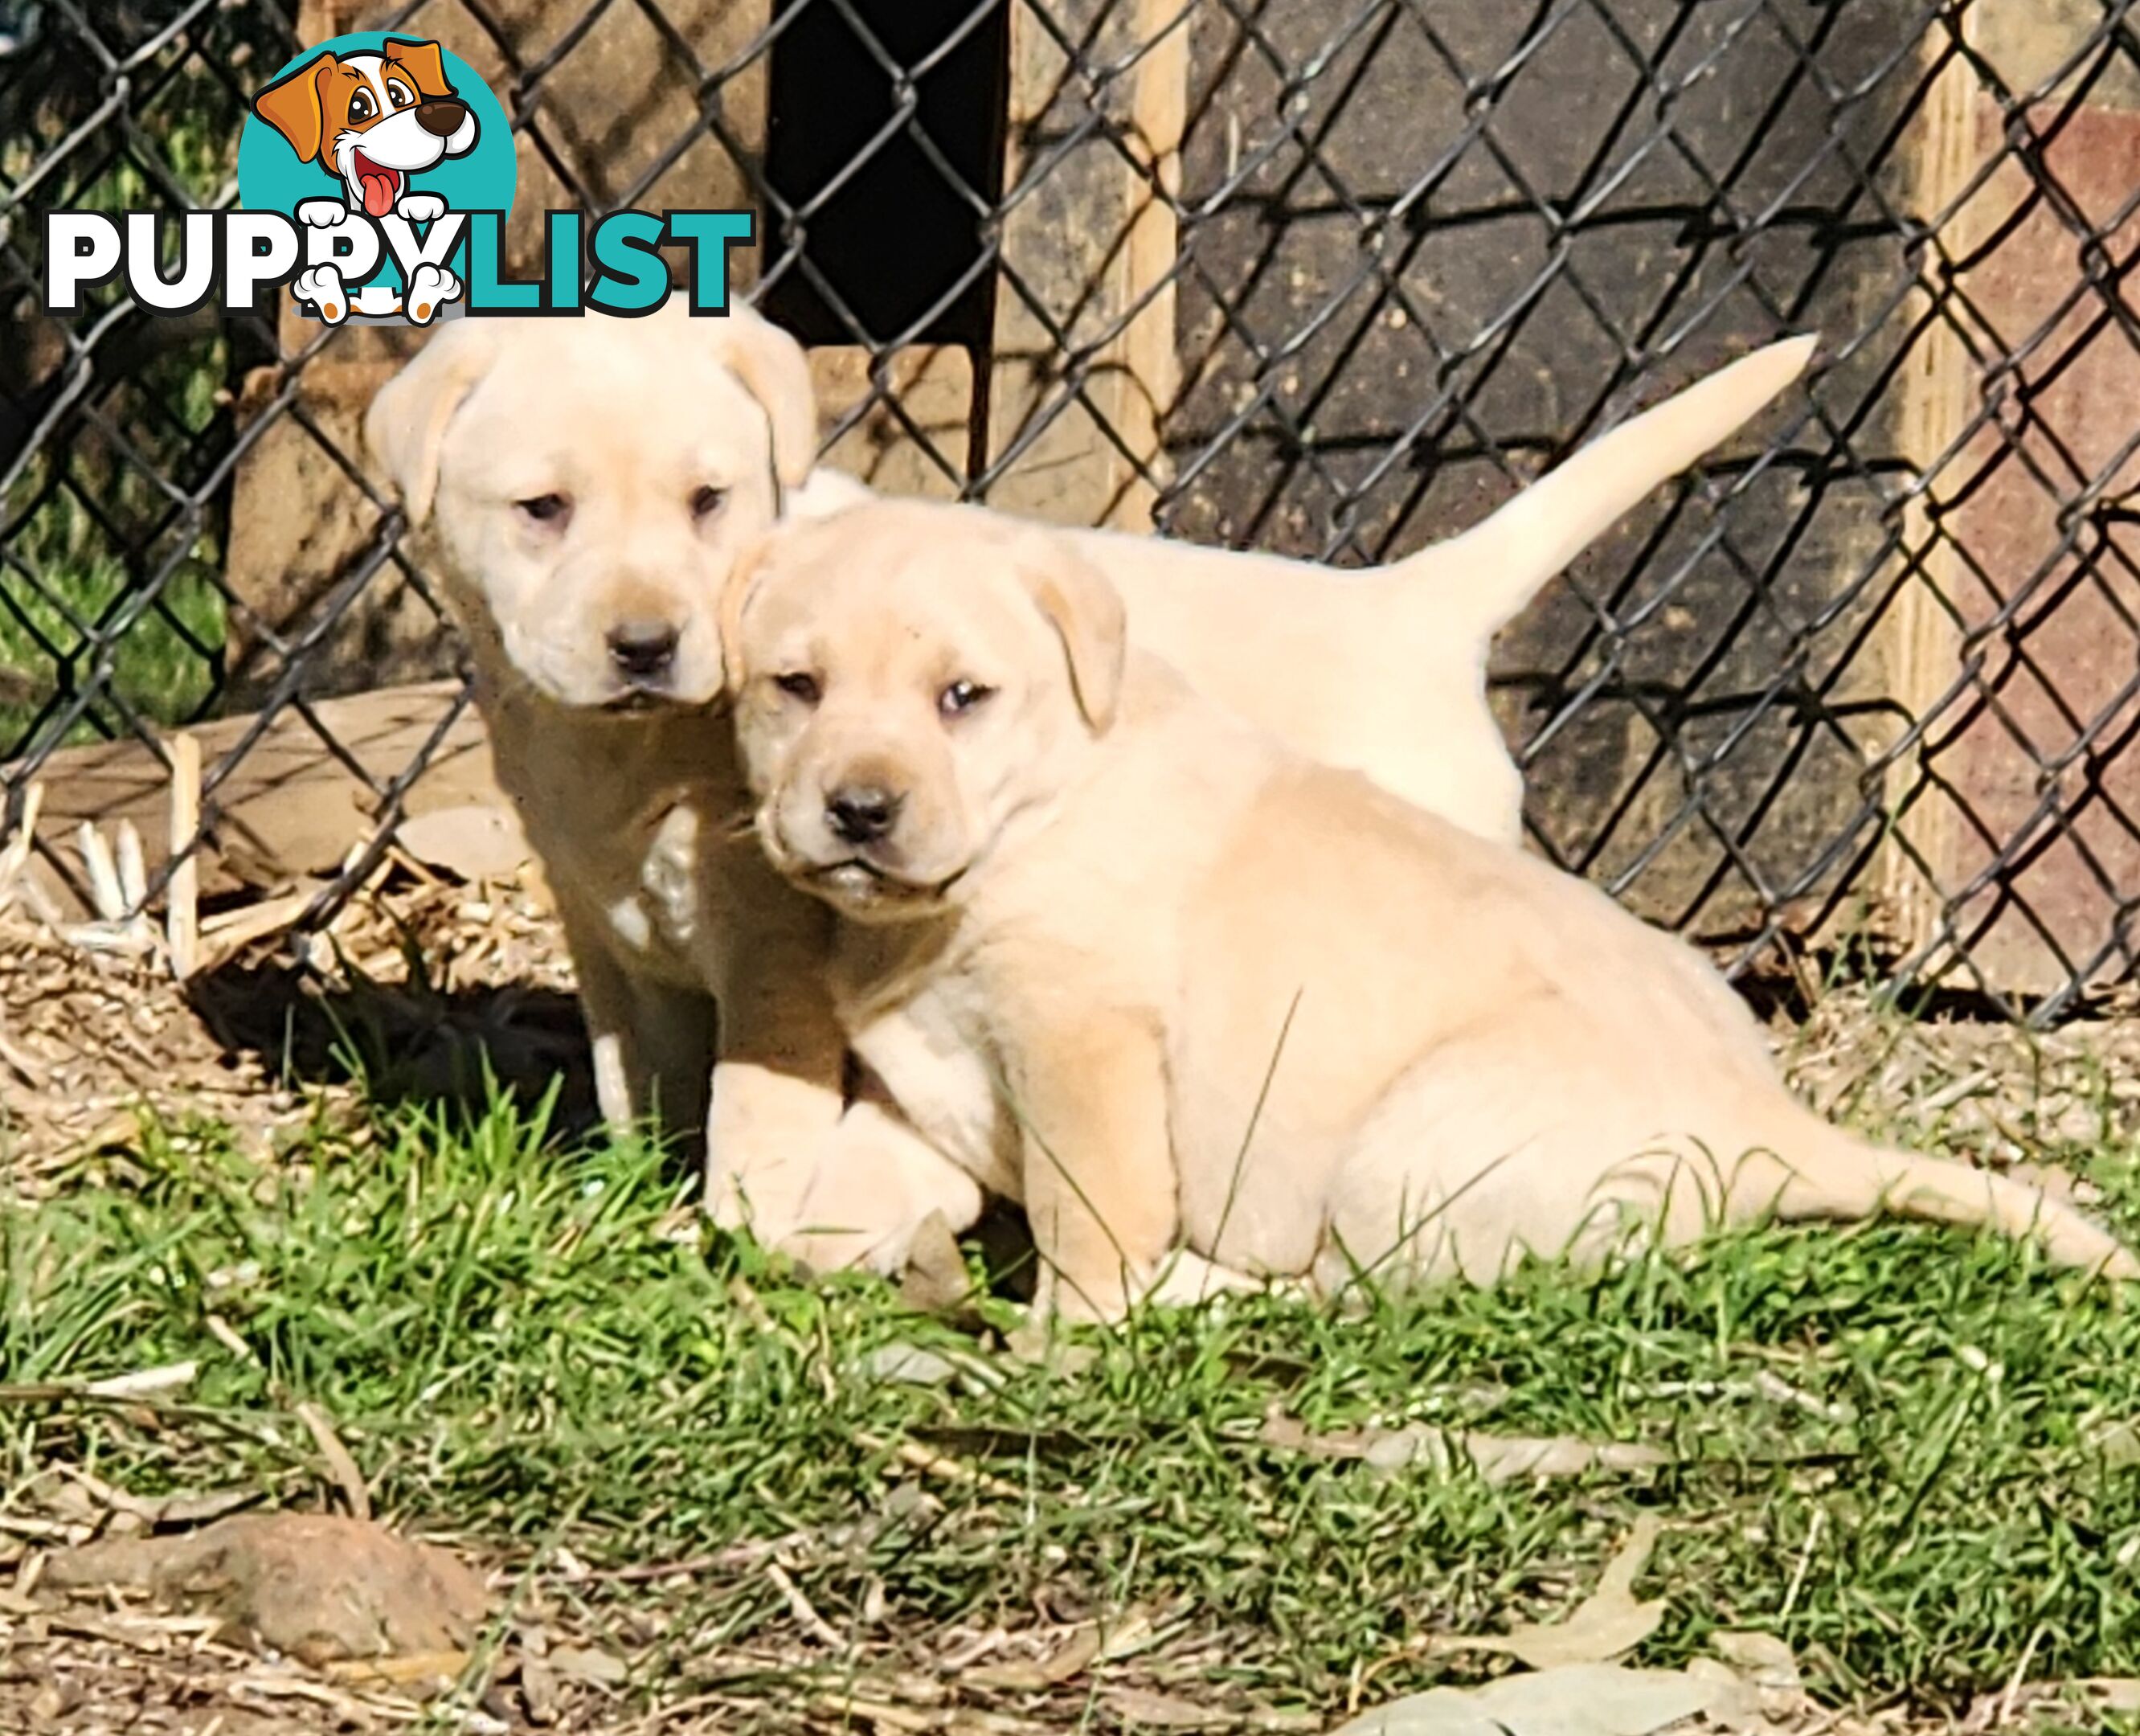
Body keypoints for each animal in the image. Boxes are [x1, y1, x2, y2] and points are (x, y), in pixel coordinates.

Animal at [359, 305, 1815, 1267]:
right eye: (540, 510)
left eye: (710, 501)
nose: (648, 644)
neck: (618, 752)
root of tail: (1409, 604)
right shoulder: (606, 933)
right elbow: (637, 1086)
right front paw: (629, 1197)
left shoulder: (774, 957)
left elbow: (758, 1115)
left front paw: (745, 1229)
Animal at [723, 496, 2140, 1327]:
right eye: (794, 687)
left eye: (964, 697)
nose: (857, 810)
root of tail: (1775, 1130)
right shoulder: (919, 1066)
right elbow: (856, 1174)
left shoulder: (1084, 1048)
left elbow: (1095, 1224)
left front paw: (1058, 1340)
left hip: (1395, 1150)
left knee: (1348, 1291)